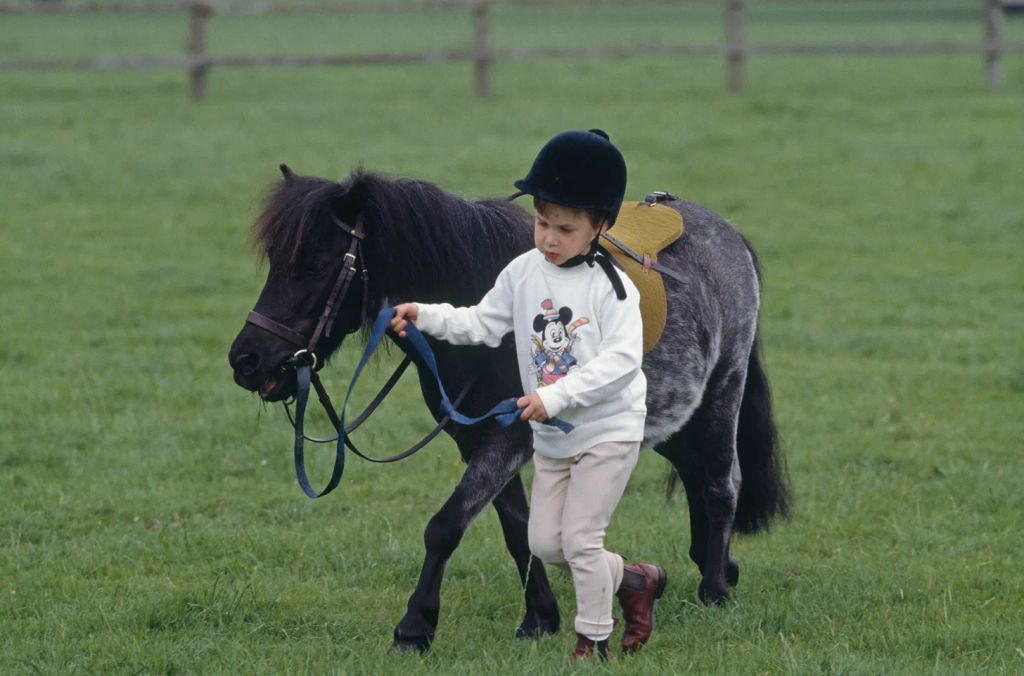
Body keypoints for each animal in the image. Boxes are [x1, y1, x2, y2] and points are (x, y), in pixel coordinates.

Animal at [228, 165, 790, 651]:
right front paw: (539, 618)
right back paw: (715, 567)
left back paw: (715, 590)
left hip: (722, 392)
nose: (246, 360)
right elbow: (519, 528)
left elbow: (446, 526)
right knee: (696, 475)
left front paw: (415, 628)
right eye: (276, 263)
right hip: (673, 417)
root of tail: (728, 234)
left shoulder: (508, 437)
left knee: (720, 484)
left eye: (316, 266)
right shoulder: (476, 438)